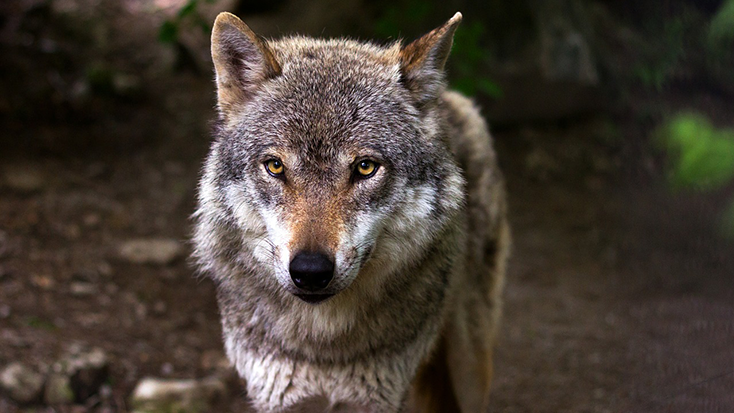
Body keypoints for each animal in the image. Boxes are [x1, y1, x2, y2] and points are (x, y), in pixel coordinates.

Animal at [193, 10, 508, 412]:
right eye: (275, 166)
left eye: (365, 167)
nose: (310, 271)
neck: (324, 347)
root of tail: (449, 99)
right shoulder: (275, 397)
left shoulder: (381, 399)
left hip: (470, 365)